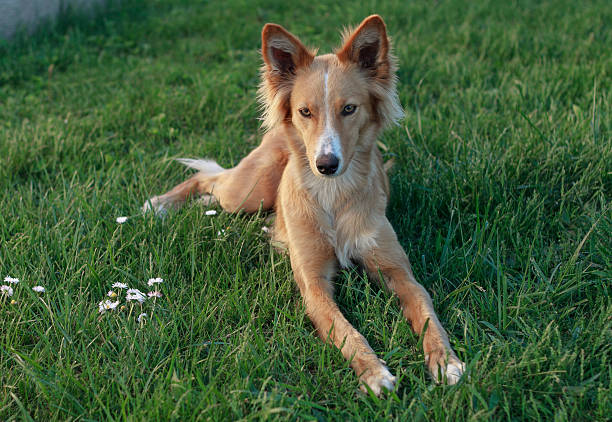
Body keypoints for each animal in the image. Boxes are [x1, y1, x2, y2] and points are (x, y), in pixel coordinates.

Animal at [146, 14, 466, 396]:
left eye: (349, 109)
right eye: (305, 112)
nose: (326, 164)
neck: (333, 195)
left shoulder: (399, 272)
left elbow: (428, 314)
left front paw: (445, 360)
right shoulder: (313, 285)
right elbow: (346, 332)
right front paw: (374, 372)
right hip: (246, 193)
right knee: (207, 178)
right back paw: (160, 204)